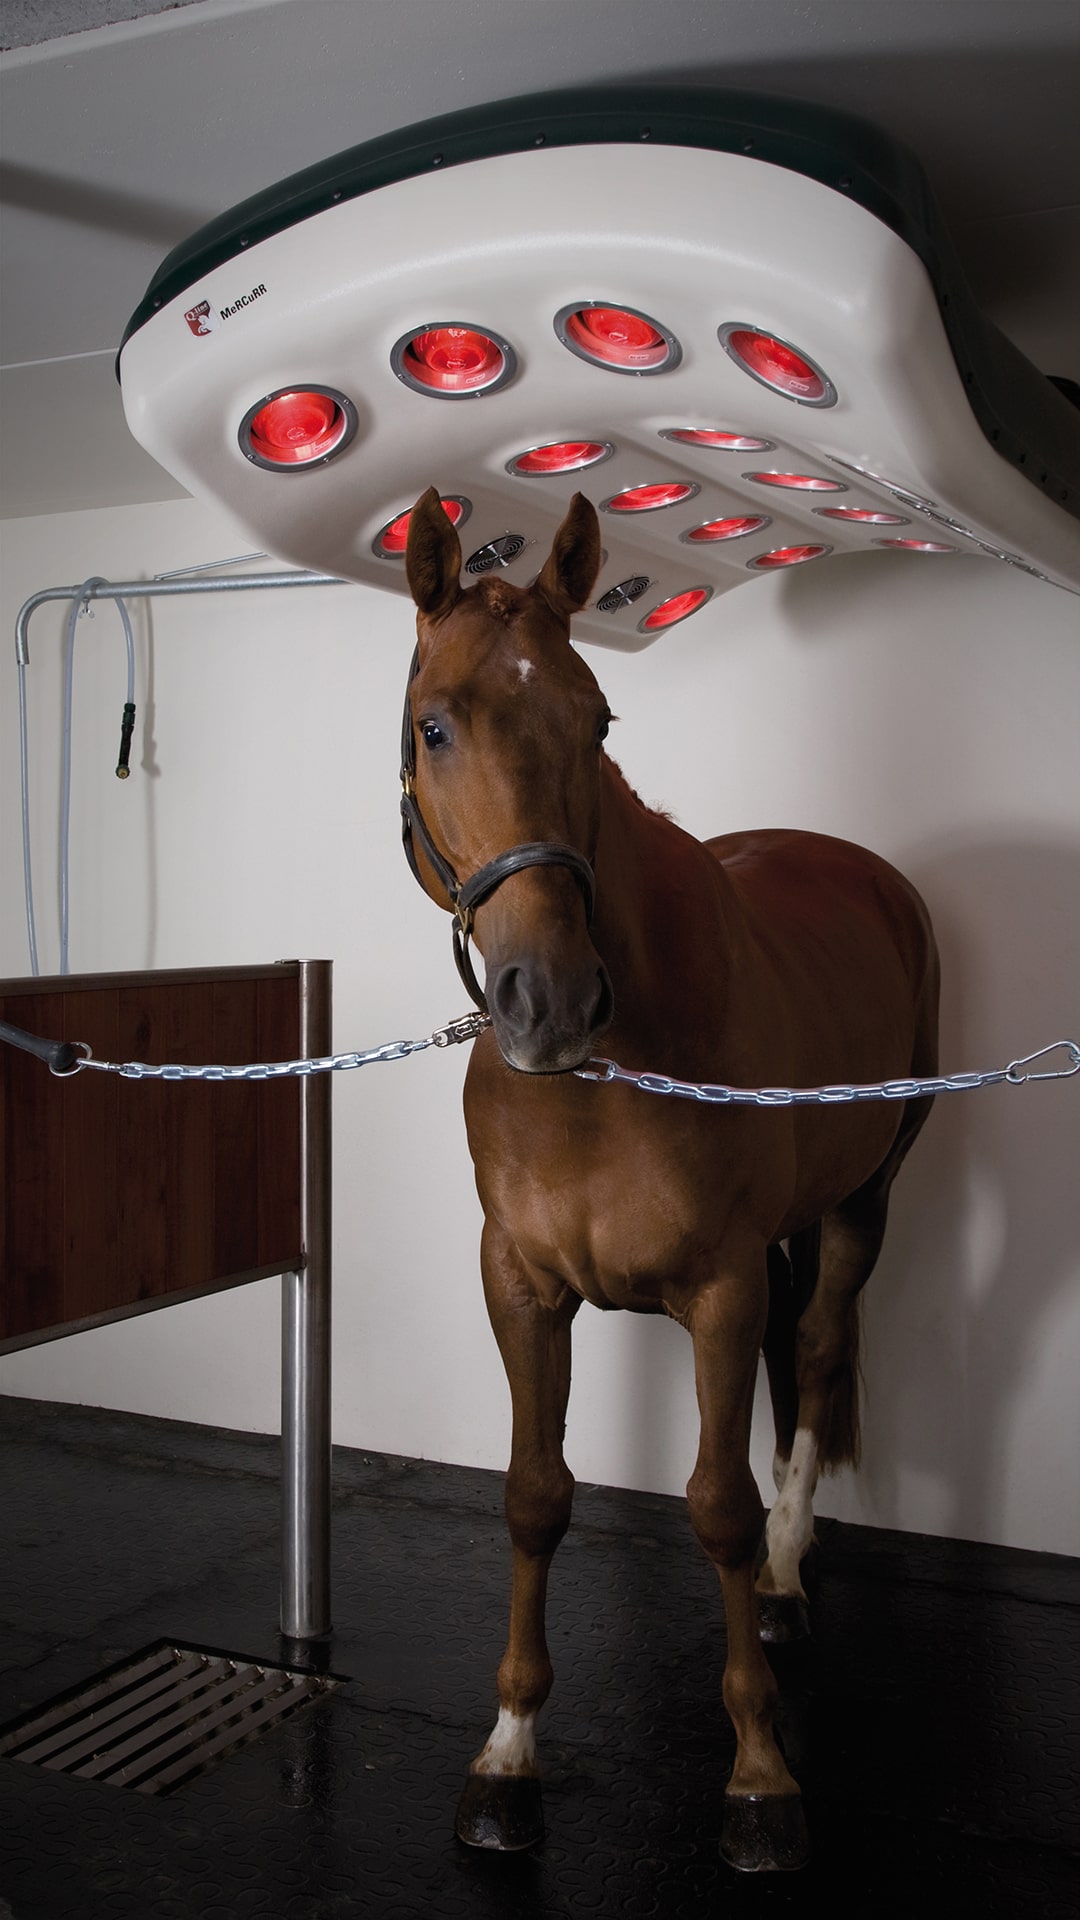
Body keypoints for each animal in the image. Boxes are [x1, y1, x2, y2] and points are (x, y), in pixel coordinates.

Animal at [400, 485, 939, 1871]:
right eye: (435, 725)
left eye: (596, 720)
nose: (548, 1001)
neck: (597, 1082)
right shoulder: (519, 1287)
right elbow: (535, 1496)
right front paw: (509, 1754)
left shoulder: (720, 1291)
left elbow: (717, 1508)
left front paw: (759, 1772)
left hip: (863, 1202)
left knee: (816, 1356)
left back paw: (792, 1581)